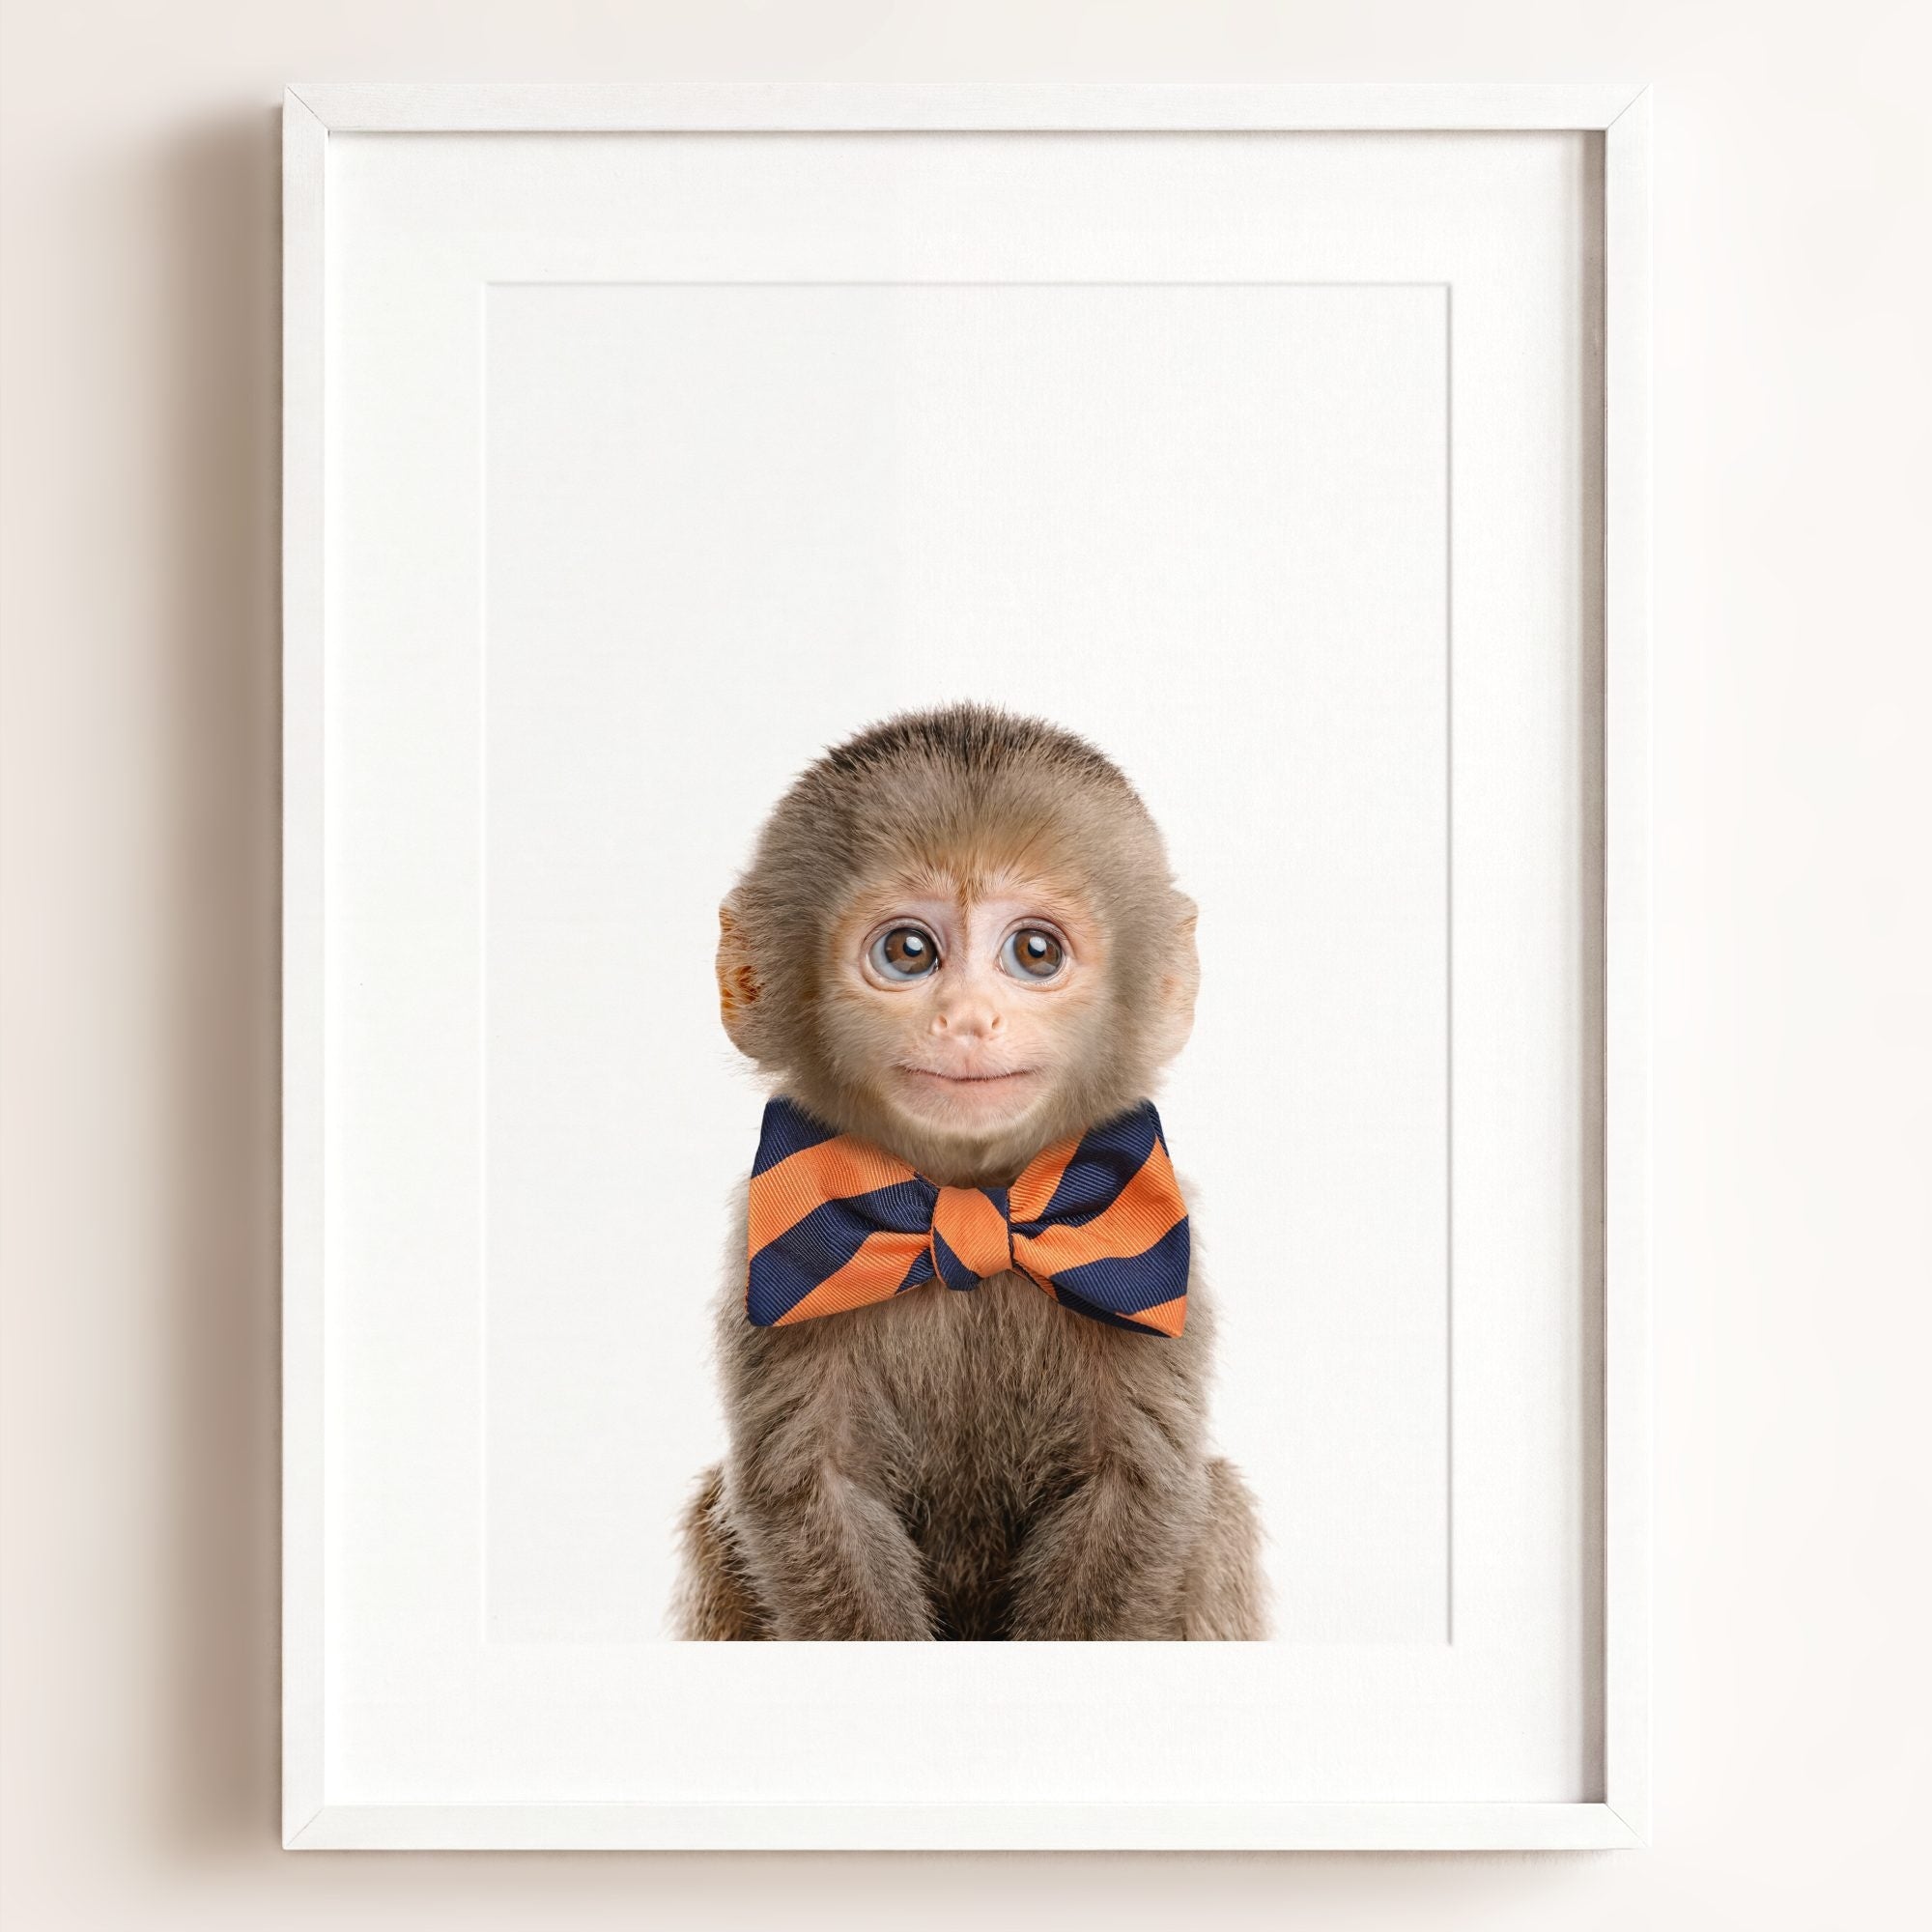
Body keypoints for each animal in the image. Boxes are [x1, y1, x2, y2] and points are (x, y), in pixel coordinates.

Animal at [673, 703, 1266, 1640]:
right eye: (910, 952)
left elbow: (1136, 1488)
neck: (964, 1195)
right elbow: (813, 1491)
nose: (968, 1019)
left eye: (1035, 952)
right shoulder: (768, 1252)